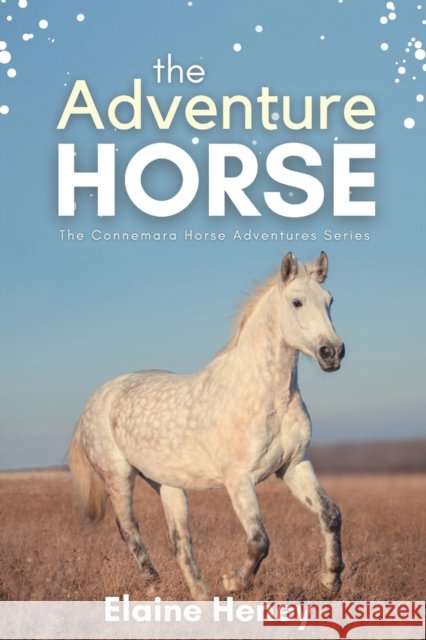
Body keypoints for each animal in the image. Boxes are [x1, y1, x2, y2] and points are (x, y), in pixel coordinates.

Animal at [69, 251, 345, 599]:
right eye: (297, 302)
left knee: (180, 541)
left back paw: (200, 596)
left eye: (330, 300)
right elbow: (259, 541)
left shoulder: (293, 465)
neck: (269, 396)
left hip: (167, 484)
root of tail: (97, 398)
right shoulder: (239, 479)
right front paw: (232, 582)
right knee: (129, 530)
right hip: (117, 476)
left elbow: (330, 514)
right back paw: (155, 584)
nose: (332, 352)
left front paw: (331, 579)